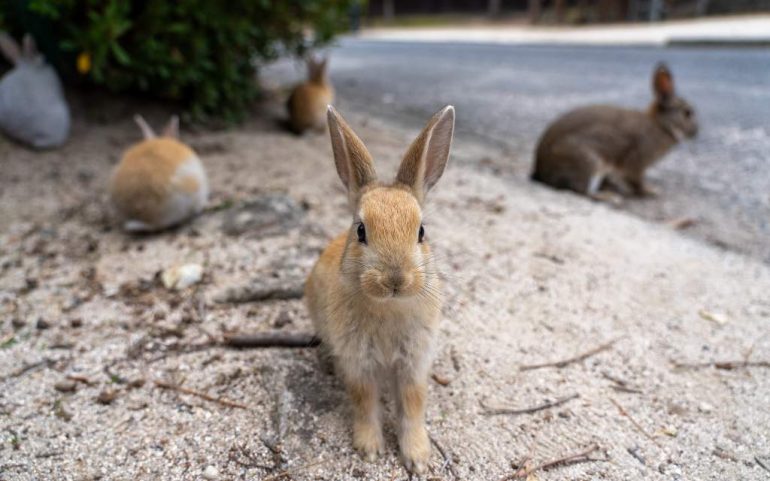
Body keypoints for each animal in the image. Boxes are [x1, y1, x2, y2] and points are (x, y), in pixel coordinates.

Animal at [304, 104, 452, 472]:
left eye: (421, 231)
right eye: (360, 230)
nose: (395, 279)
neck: (388, 307)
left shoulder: (414, 362)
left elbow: (413, 405)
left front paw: (418, 458)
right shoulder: (359, 363)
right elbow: (364, 401)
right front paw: (370, 448)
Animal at [528, 62, 696, 202]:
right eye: (687, 113)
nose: (696, 132)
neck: (662, 125)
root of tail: (540, 171)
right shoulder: (636, 162)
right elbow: (636, 181)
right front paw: (651, 191)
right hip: (588, 162)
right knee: (582, 191)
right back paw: (609, 197)